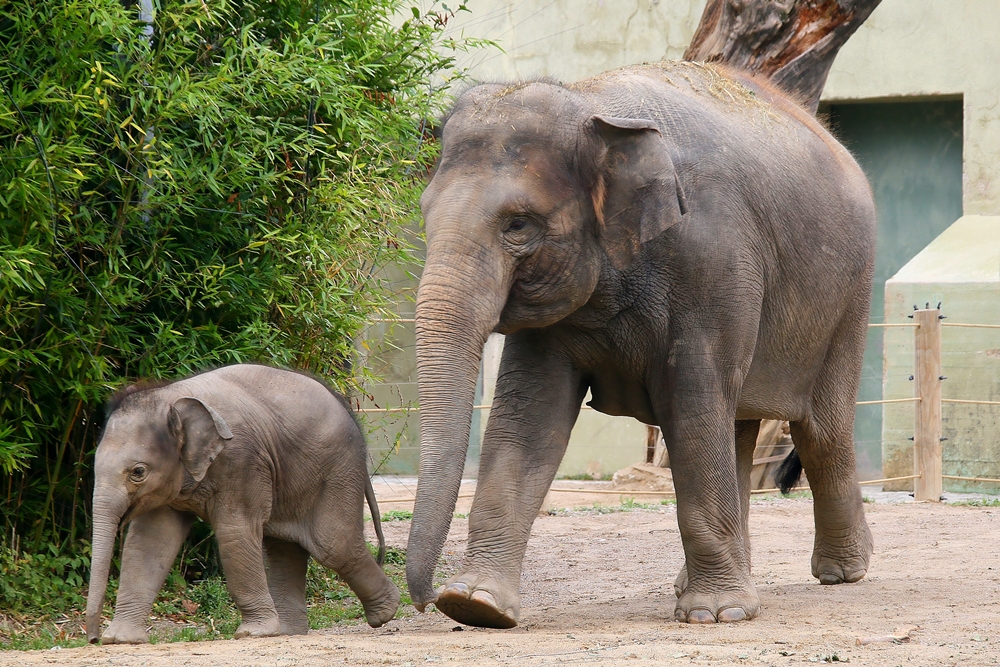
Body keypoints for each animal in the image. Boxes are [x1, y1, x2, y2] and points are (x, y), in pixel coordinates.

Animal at [86, 362, 398, 644]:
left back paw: (385, 613)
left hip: (336, 469)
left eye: (138, 472)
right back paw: (288, 631)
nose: (93, 638)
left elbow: (234, 531)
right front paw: (120, 640)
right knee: (286, 547)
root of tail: (345, 405)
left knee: (333, 545)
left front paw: (252, 633)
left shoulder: (242, 460)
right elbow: (149, 542)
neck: (170, 396)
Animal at [406, 60, 876, 628]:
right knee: (737, 425)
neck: (591, 103)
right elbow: (528, 416)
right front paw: (477, 605)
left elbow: (693, 402)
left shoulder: (712, 258)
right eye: (426, 216)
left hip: (850, 296)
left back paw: (841, 573)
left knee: (820, 430)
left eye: (518, 225)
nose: (425, 598)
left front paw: (715, 615)